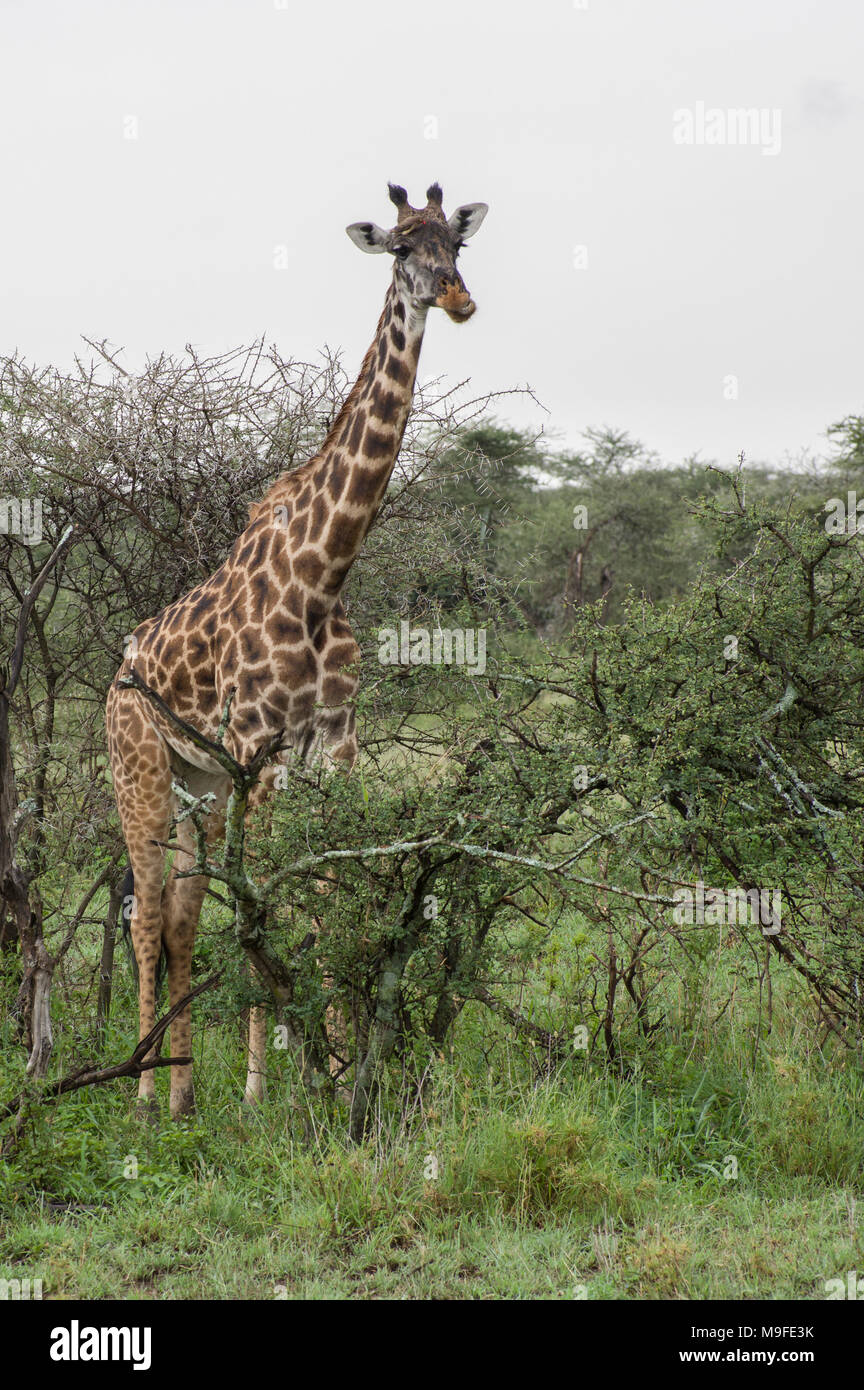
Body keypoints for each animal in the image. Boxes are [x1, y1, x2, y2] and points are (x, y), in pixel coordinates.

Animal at [104, 182, 491, 1117]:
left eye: (457, 245)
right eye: (402, 247)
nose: (459, 299)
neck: (322, 575)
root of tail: (116, 676)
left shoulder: (333, 745)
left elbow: (322, 890)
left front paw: (342, 1068)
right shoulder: (260, 746)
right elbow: (264, 904)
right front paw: (264, 1086)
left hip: (199, 785)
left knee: (179, 914)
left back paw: (183, 1092)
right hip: (140, 772)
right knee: (145, 910)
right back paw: (142, 1094)